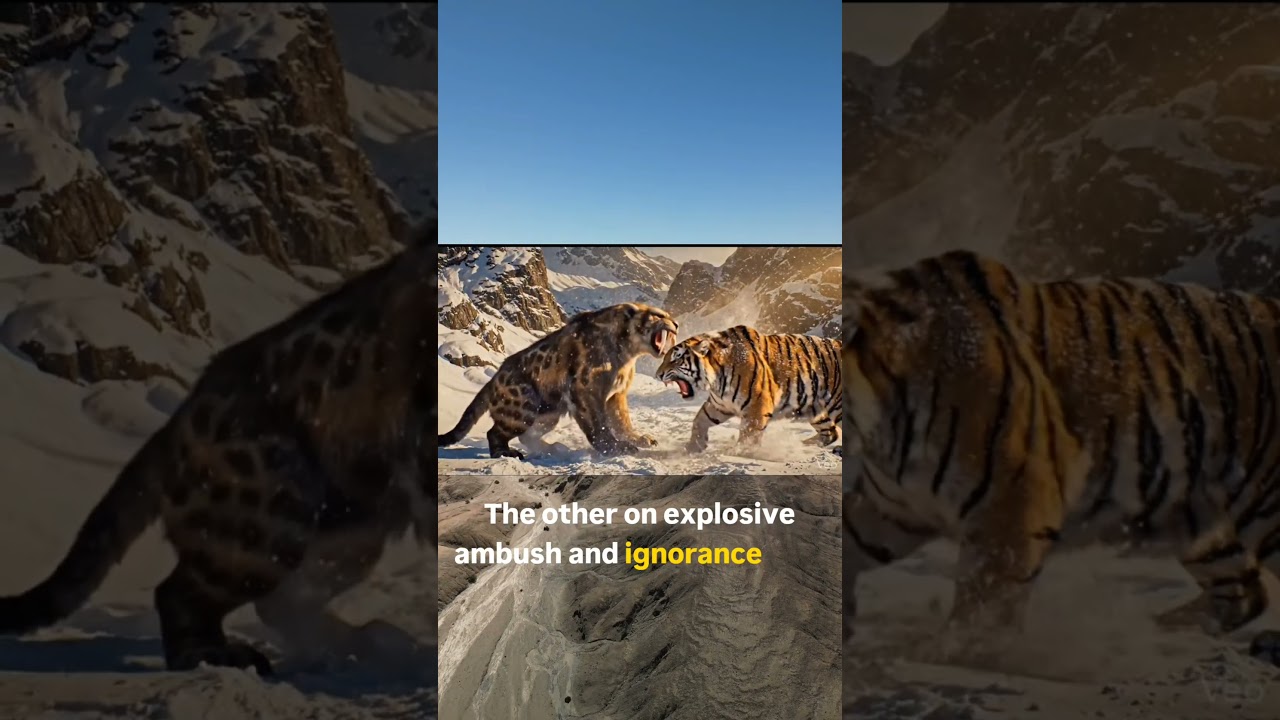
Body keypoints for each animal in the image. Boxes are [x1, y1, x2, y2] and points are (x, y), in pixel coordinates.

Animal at [655, 325, 842, 453]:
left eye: (676, 358)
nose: (658, 374)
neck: (716, 382)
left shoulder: (757, 406)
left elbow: (749, 433)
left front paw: (741, 451)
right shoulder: (719, 405)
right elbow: (699, 420)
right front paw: (694, 446)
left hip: (836, 406)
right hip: (817, 410)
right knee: (831, 433)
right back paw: (801, 446)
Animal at [840, 248, 1280, 663]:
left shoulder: (1013, 505)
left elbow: (984, 600)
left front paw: (954, 651)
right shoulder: (892, 508)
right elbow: (848, 541)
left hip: (1261, 510)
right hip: (1197, 518)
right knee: (1244, 592)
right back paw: (1163, 629)